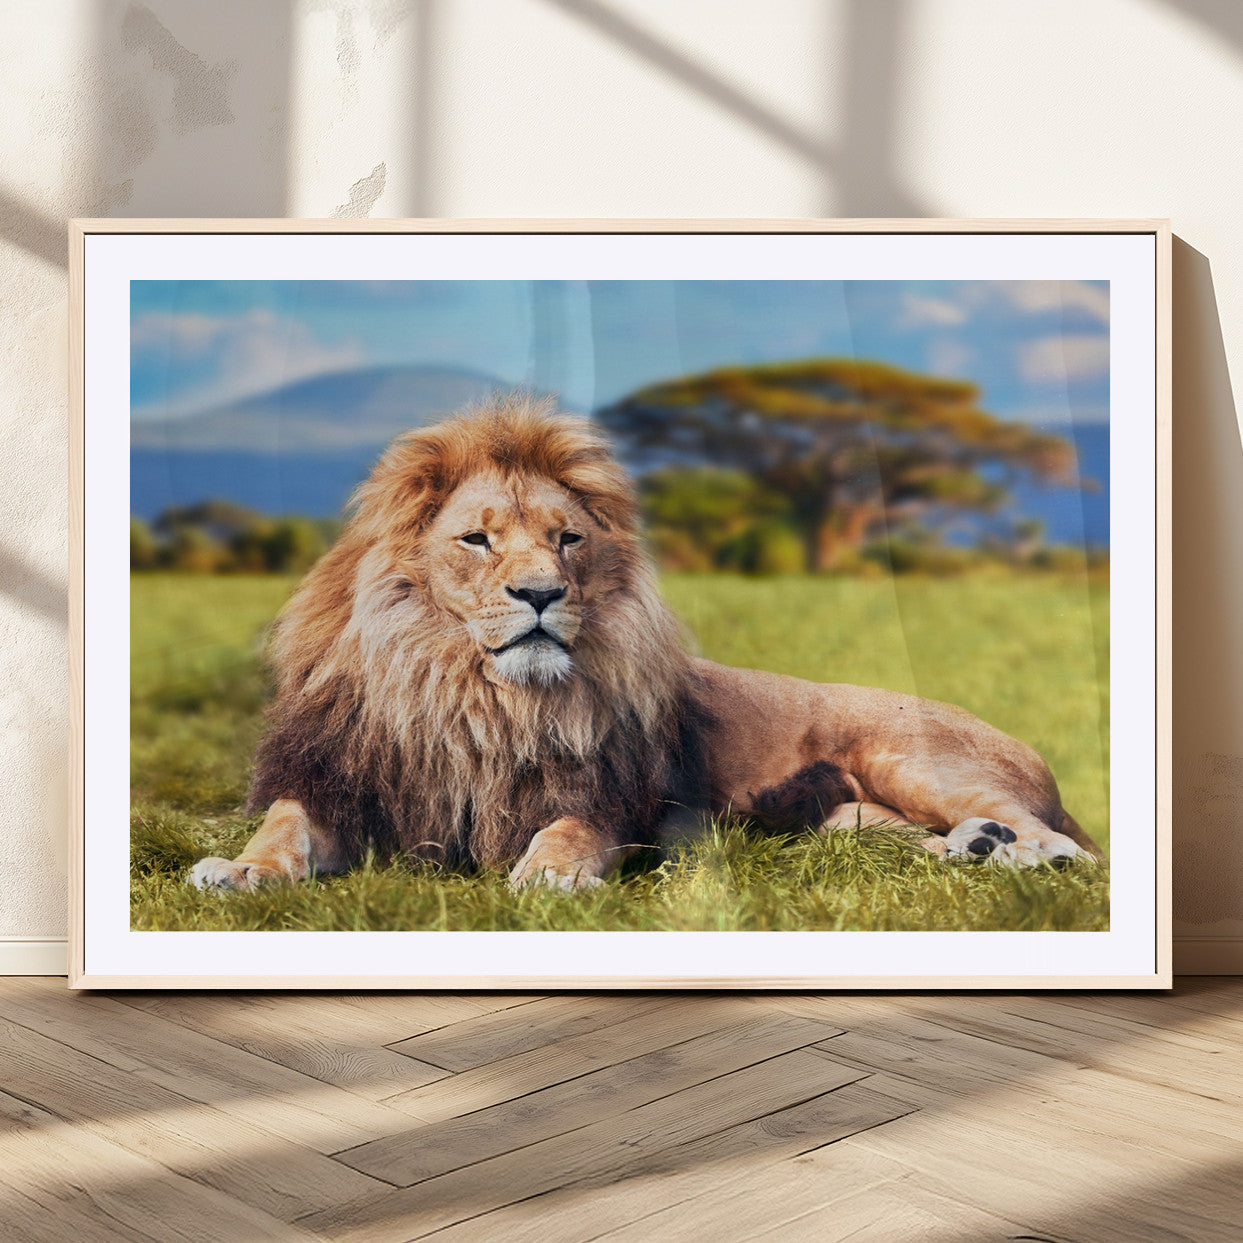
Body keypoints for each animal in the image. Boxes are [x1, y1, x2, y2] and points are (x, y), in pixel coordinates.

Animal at [189, 395, 1101, 894]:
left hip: (910, 756)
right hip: (845, 819)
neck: (471, 695)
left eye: (566, 539)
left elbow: (566, 832)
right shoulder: (346, 783)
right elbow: (284, 825)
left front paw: (549, 874)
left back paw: (1016, 854)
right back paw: (974, 847)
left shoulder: (607, 798)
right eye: (476, 540)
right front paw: (238, 870)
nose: (541, 595)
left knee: (1066, 845)